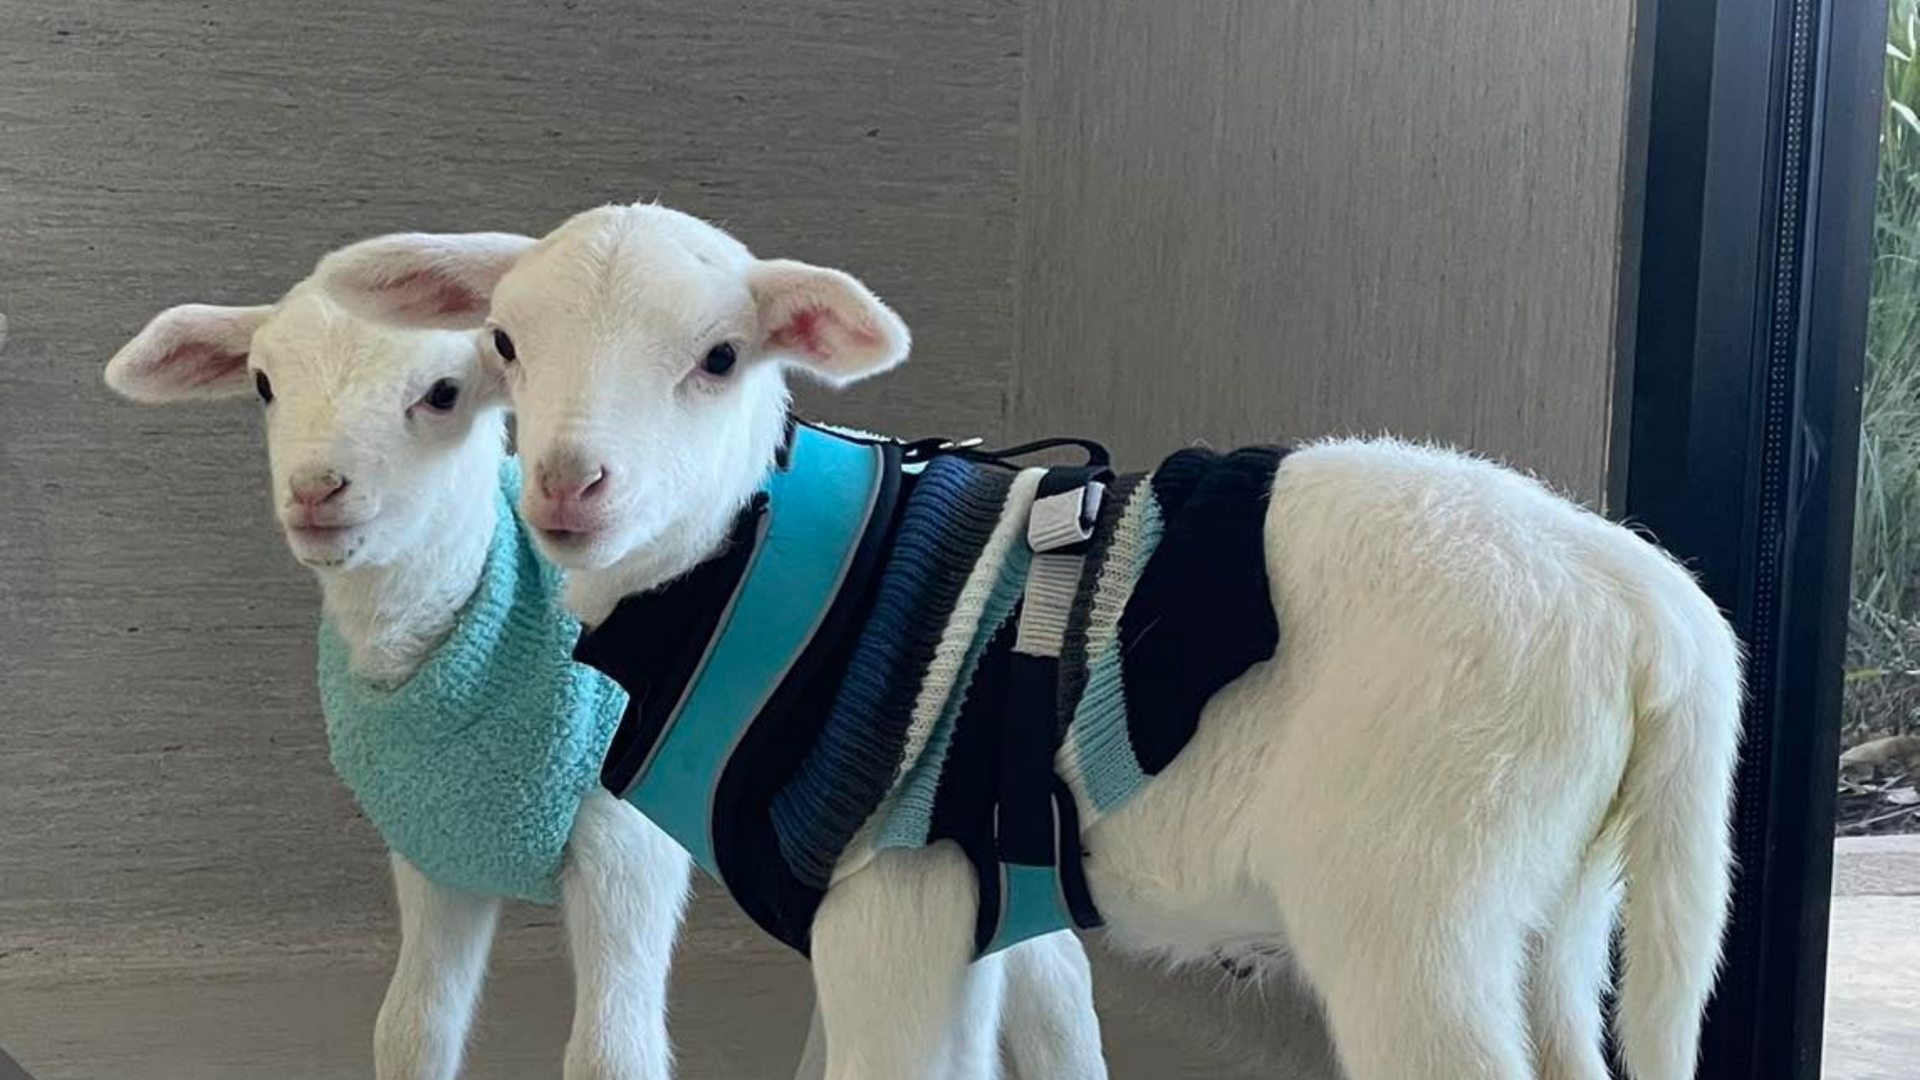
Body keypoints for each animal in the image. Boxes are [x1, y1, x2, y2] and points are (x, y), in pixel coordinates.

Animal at [101, 270, 1111, 1080]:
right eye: (264, 385)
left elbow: (610, 1055)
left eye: (441, 394)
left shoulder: (627, 842)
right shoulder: (435, 849)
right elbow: (412, 1032)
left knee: (1056, 985)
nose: (317, 492)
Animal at [318, 201, 1745, 1080]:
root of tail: (1653, 612)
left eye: (721, 358)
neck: (749, 571)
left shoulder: (896, 893)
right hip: (1565, 900)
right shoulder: (966, 916)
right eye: (507, 343)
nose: (570, 487)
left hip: (1418, 895)